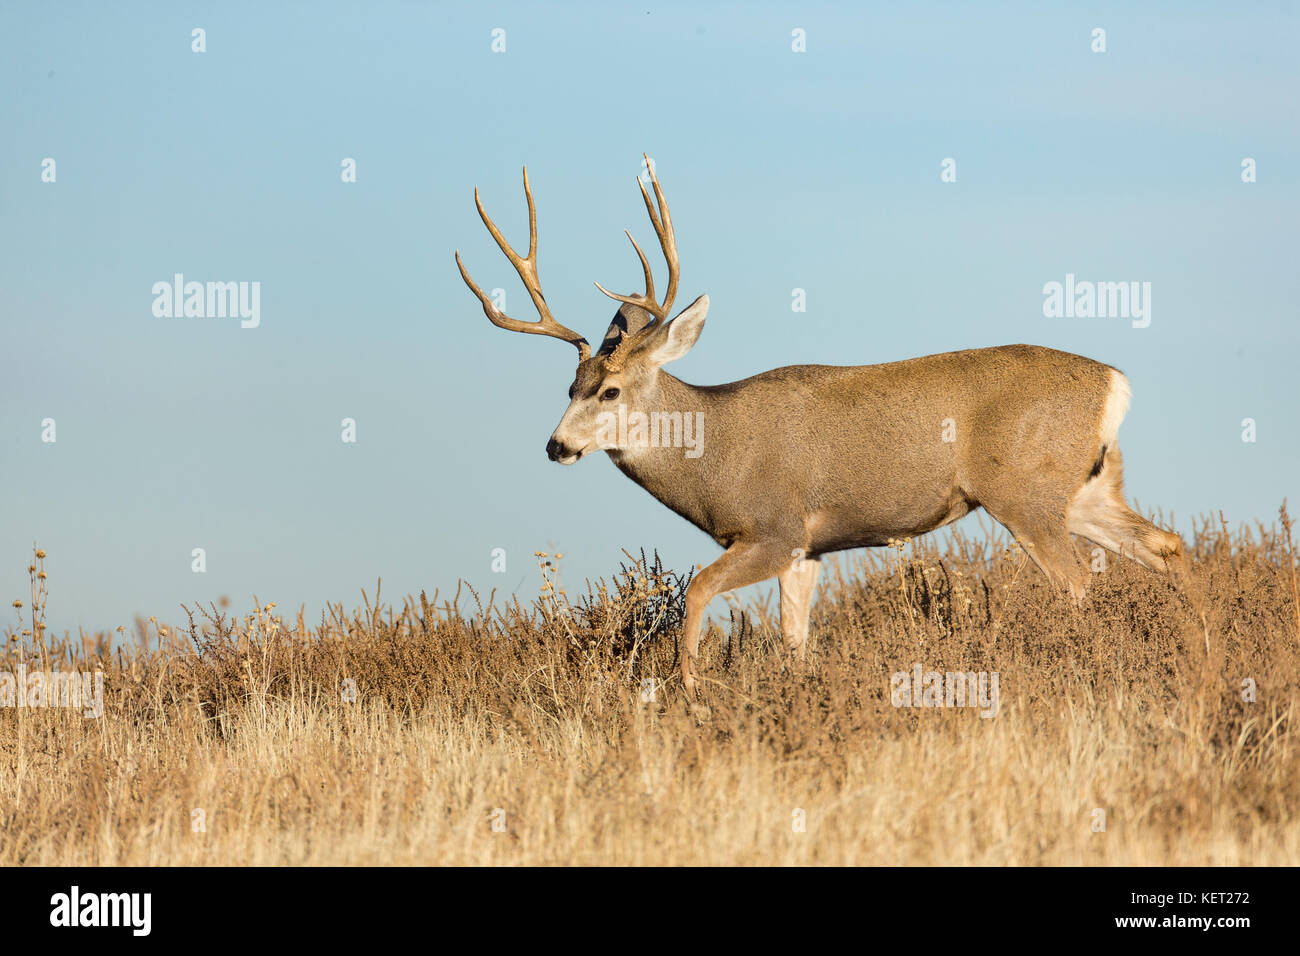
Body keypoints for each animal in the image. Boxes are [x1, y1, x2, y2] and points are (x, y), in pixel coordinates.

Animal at [454, 157, 1192, 699]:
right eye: (568, 387)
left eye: (608, 389)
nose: (557, 445)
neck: (715, 453)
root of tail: (1115, 383)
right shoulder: (806, 551)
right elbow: (793, 642)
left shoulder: (773, 529)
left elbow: (694, 591)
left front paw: (689, 692)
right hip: (1088, 485)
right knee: (1169, 546)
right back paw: (1194, 644)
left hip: (1027, 493)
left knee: (1082, 585)